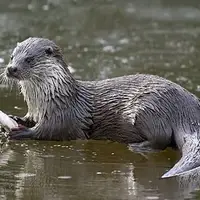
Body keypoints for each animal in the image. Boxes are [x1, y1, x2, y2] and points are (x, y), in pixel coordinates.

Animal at [3, 37, 200, 178]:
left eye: (29, 59)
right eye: (12, 57)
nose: (11, 69)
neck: (50, 98)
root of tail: (188, 110)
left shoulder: (64, 115)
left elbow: (51, 131)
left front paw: (21, 132)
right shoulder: (36, 111)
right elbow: (30, 119)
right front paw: (15, 119)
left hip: (148, 108)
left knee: (161, 137)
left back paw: (138, 147)